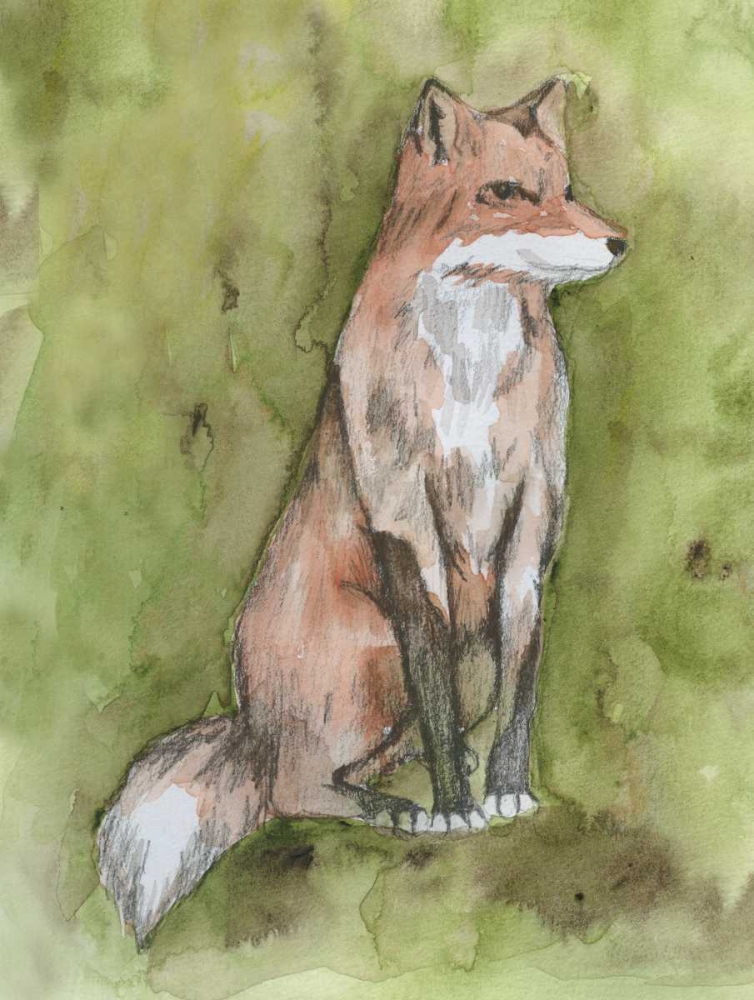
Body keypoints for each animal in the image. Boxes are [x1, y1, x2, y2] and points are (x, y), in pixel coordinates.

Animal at [97, 74, 628, 946]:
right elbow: (434, 687)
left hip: (443, 667)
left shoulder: (533, 516)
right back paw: (394, 807)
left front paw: (506, 792)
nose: (620, 242)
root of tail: (250, 726)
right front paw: (455, 809)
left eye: (566, 190)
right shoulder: (403, 516)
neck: (470, 377)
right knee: (297, 789)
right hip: (369, 653)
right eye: (506, 193)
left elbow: (521, 685)